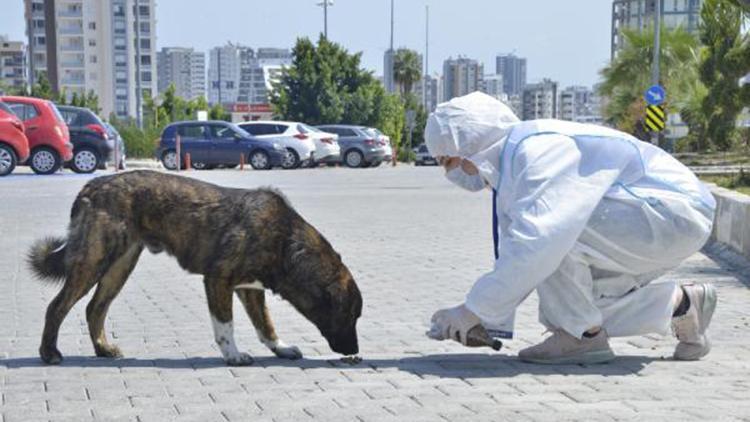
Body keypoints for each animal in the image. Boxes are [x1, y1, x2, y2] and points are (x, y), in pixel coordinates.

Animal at [26, 170, 362, 364]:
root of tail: (92, 185)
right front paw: (233, 355)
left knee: (94, 308)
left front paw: (280, 347)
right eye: (350, 316)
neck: (285, 240)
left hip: (119, 266)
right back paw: (49, 353)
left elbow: (265, 325)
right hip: (94, 261)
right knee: (57, 306)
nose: (354, 351)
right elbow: (225, 325)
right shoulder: (218, 280)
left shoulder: (250, 289)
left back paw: (103, 349)